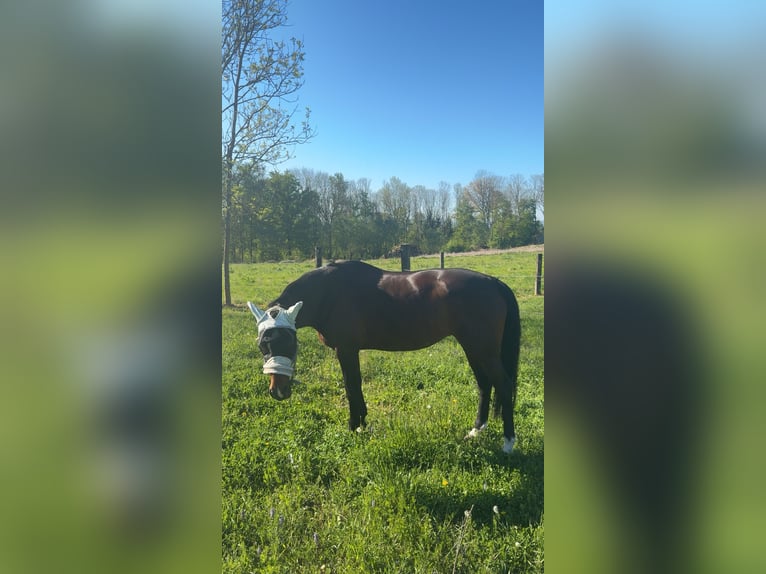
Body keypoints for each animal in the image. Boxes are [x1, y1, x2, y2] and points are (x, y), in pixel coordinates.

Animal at [248, 260, 521, 453]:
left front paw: (354, 427)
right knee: (484, 385)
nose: (278, 392)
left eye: (290, 342)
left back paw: (508, 443)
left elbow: (351, 387)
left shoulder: (346, 350)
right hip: (473, 348)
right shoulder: (350, 351)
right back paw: (476, 431)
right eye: (262, 346)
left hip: (483, 350)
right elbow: (356, 386)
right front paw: (362, 423)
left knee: (503, 385)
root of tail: (493, 282)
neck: (329, 293)